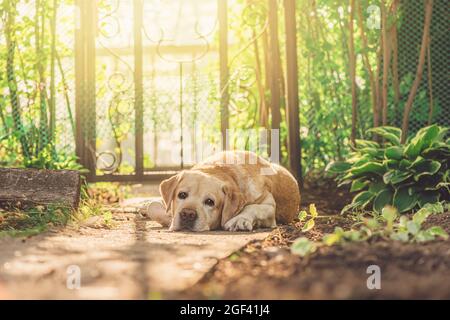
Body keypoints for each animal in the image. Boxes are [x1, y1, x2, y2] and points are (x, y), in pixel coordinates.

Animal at [146, 151, 300, 231]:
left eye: (210, 202)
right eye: (182, 195)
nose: (187, 214)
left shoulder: (269, 205)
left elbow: (254, 207)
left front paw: (240, 219)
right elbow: (153, 206)